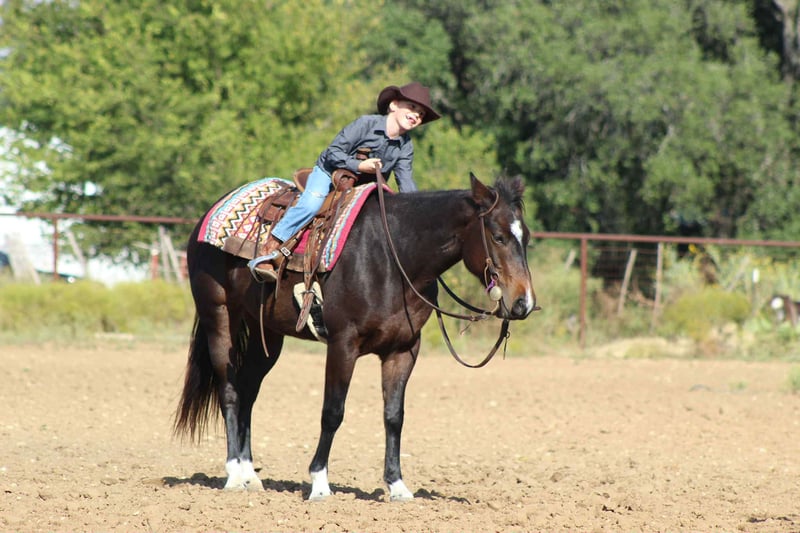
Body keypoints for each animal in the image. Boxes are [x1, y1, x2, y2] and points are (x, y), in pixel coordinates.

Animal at [174, 172, 537, 501]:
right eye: (498, 236)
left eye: (527, 237)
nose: (524, 303)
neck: (395, 257)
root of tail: (209, 213)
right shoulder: (342, 345)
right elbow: (333, 412)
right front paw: (319, 483)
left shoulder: (404, 350)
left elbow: (394, 416)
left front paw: (397, 486)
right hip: (219, 316)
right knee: (229, 390)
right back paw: (234, 475)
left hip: (269, 336)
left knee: (248, 390)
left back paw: (250, 474)